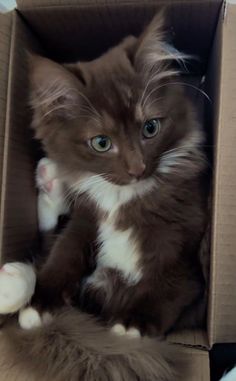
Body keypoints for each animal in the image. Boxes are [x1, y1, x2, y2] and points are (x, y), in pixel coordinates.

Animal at [0, 13, 209, 380]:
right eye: (101, 143)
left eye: (150, 128)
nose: (138, 168)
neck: (123, 199)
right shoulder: (86, 219)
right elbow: (63, 253)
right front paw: (39, 301)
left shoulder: (186, 242)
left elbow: (171, 282)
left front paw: (131, 325)